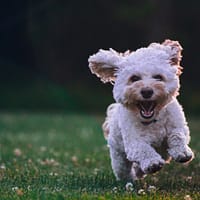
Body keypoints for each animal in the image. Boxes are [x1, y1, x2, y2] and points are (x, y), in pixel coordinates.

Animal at [88, 39, 194, 181]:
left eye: (158, 77)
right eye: (134, 78)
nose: (147, 91)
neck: (153, 121)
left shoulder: (179, 126)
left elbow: (177, 135)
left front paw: (182, 152)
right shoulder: (133, 142)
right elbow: (143, 148)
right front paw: (152, 163)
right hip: (118, 155)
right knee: (123, 169)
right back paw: (130, 178)